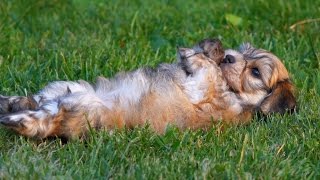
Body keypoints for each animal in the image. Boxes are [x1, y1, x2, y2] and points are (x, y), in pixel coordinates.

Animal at [0, 38, 296, 139]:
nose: (229, 58)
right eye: (243, 51)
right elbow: (207, 60)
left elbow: (207, 71)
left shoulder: (208, 93)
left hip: (78, 107)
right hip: (64, 88)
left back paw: (14, 117)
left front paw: (199, 54)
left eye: (255, 72)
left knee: (42, 119)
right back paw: (10, 102)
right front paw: (211, 47)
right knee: (34, 99)